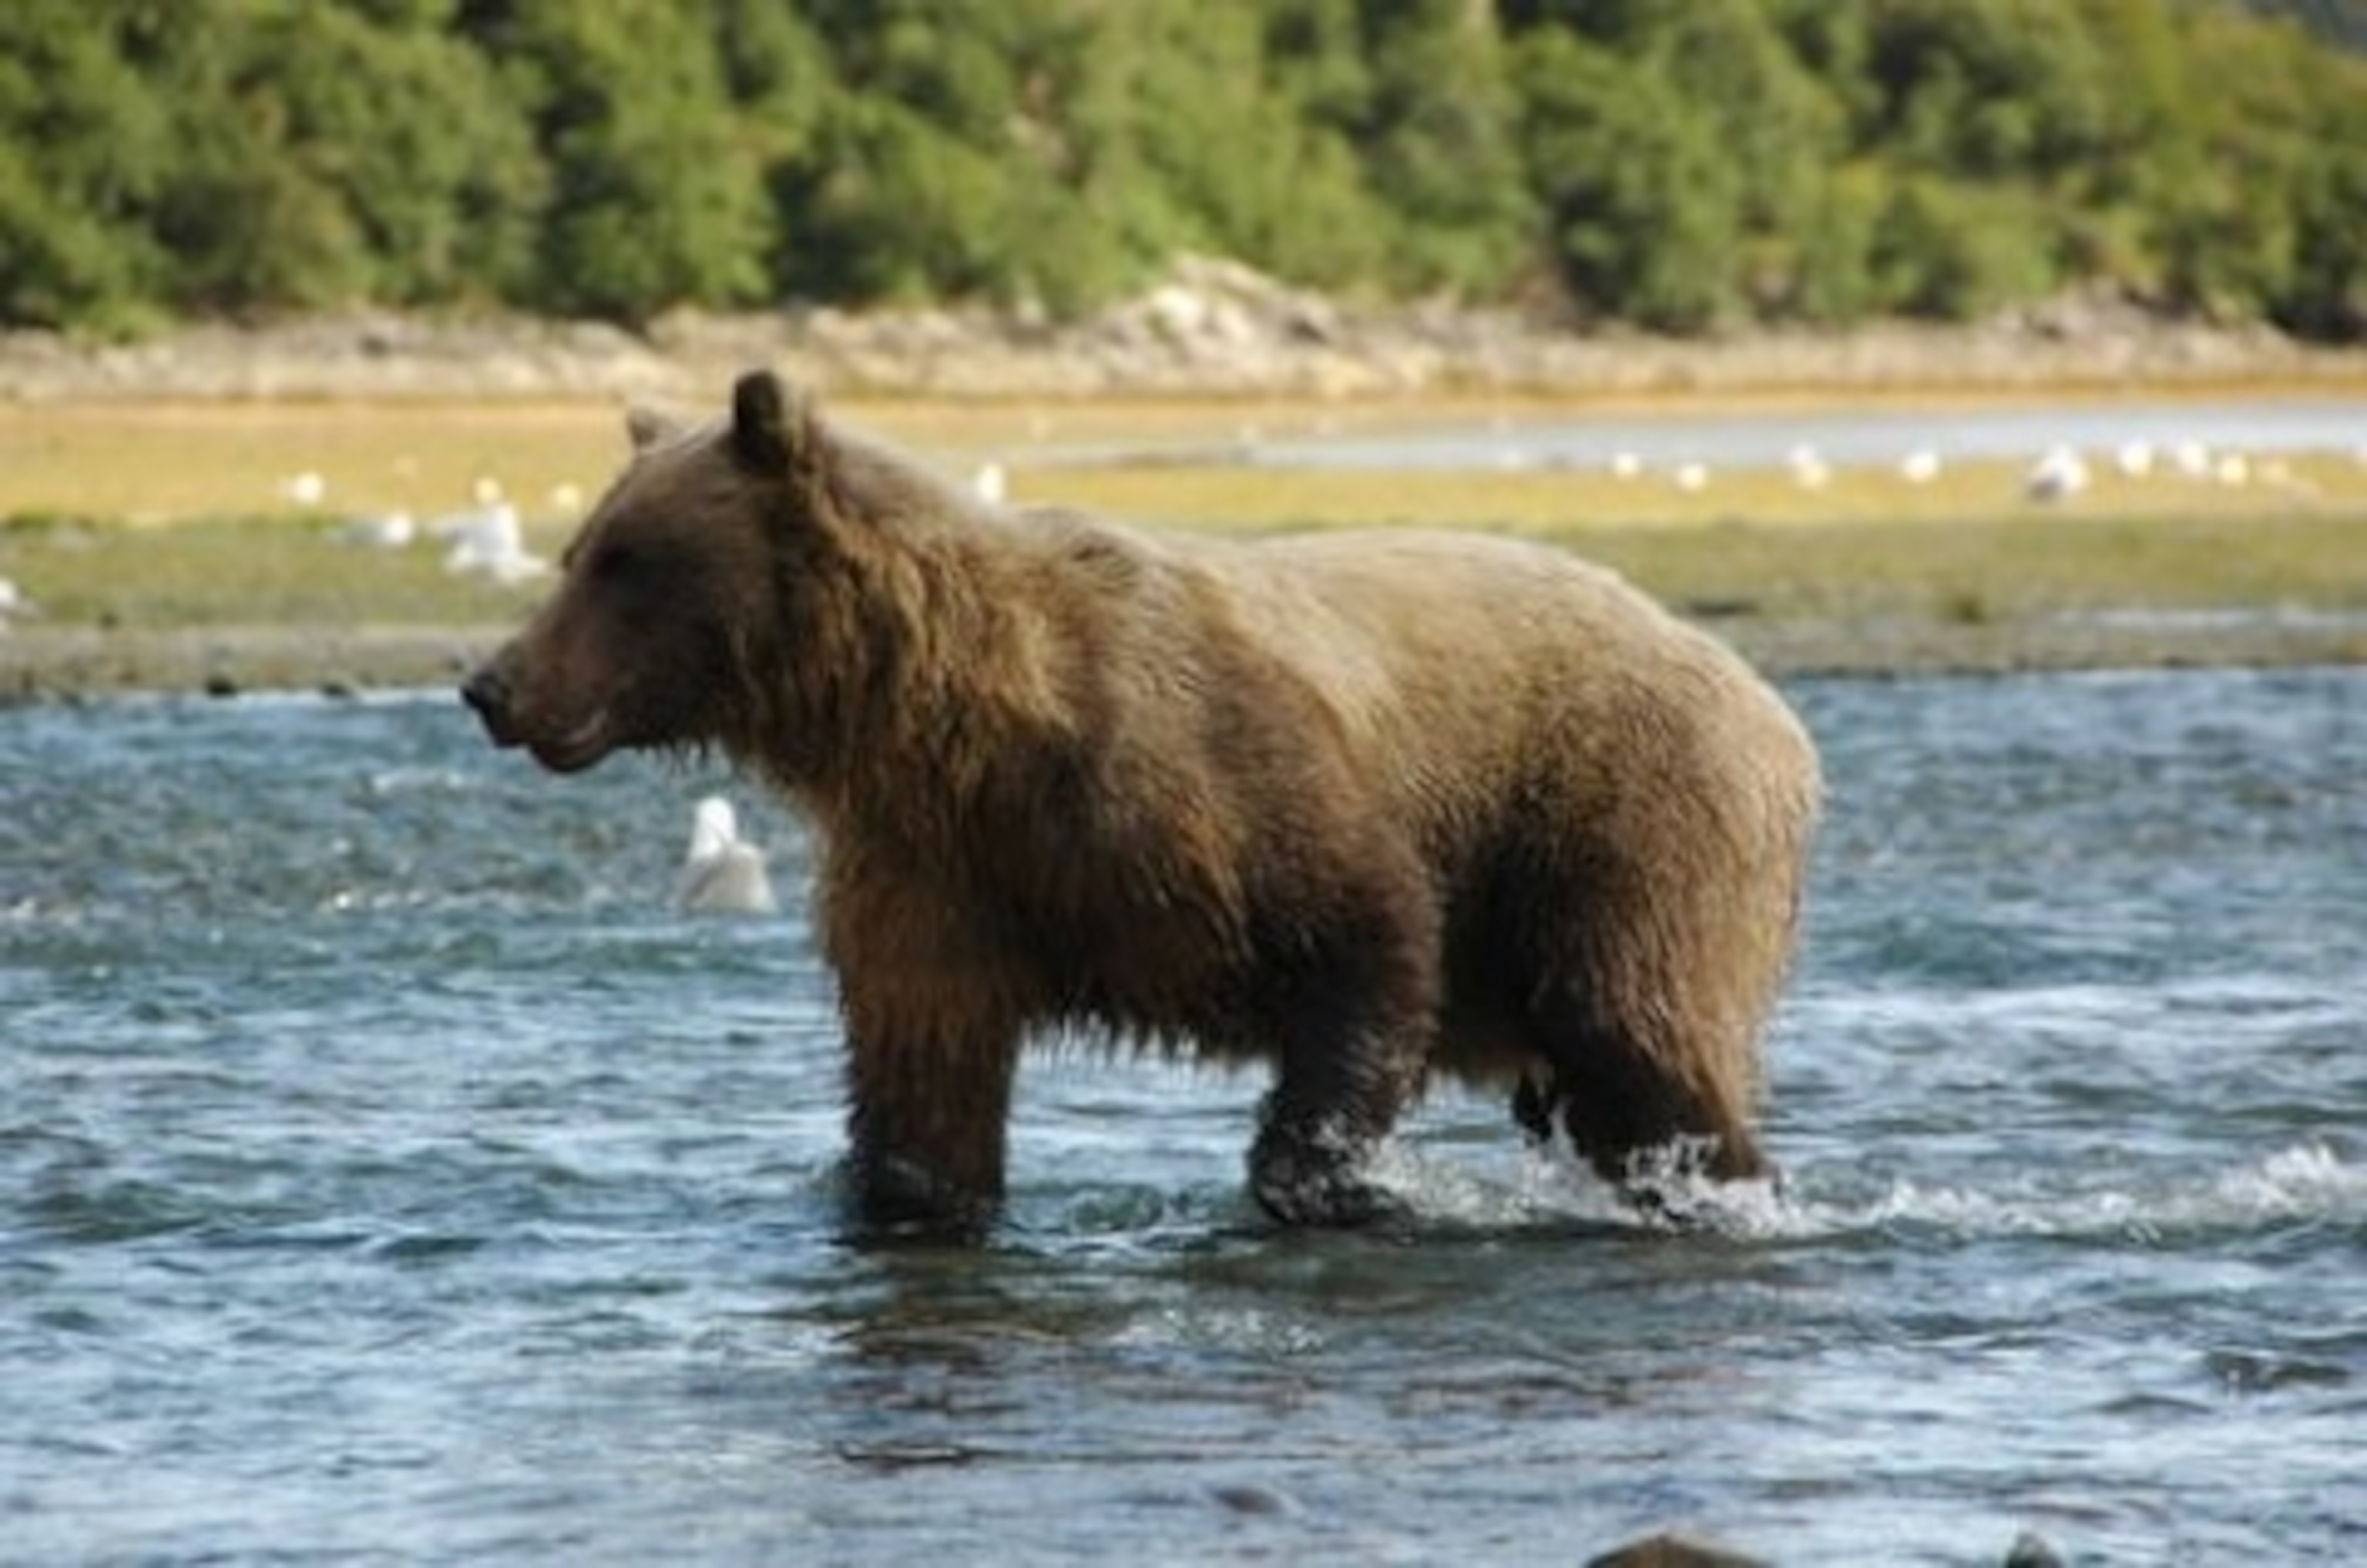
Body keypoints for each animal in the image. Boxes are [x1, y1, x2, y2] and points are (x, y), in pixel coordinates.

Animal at [462, 371, 1821, 1231]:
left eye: (624, 560)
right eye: (583, 546)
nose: (492, 681)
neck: (955, 722)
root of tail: (1770, 704)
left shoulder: (1207, 779)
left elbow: (1367, 938)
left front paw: (1328, 1182)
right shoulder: (938, 872)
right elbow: (923, 1086)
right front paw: (910, 1194)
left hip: (1623, 821)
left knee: (1643, 1040)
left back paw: (1727, 1188)